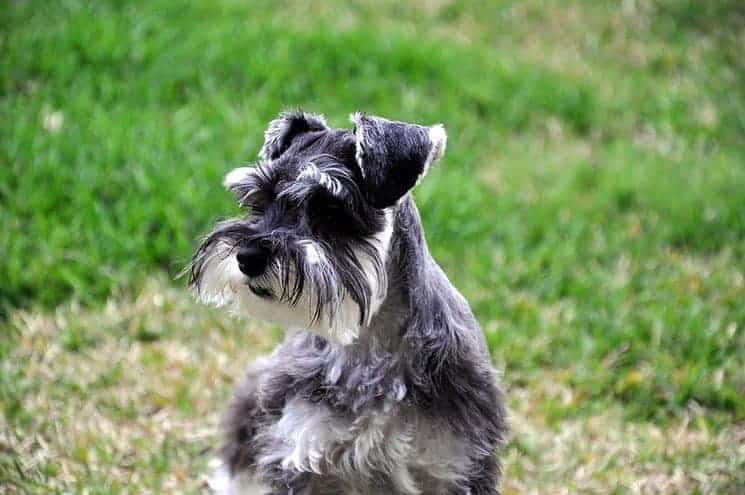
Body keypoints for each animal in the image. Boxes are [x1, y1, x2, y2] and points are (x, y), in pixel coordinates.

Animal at [189, 112, 508, 495]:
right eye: (257, 201)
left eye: (331, 209)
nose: (247, 257)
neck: (372, 344)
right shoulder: (300, 453)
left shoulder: (455, 465)